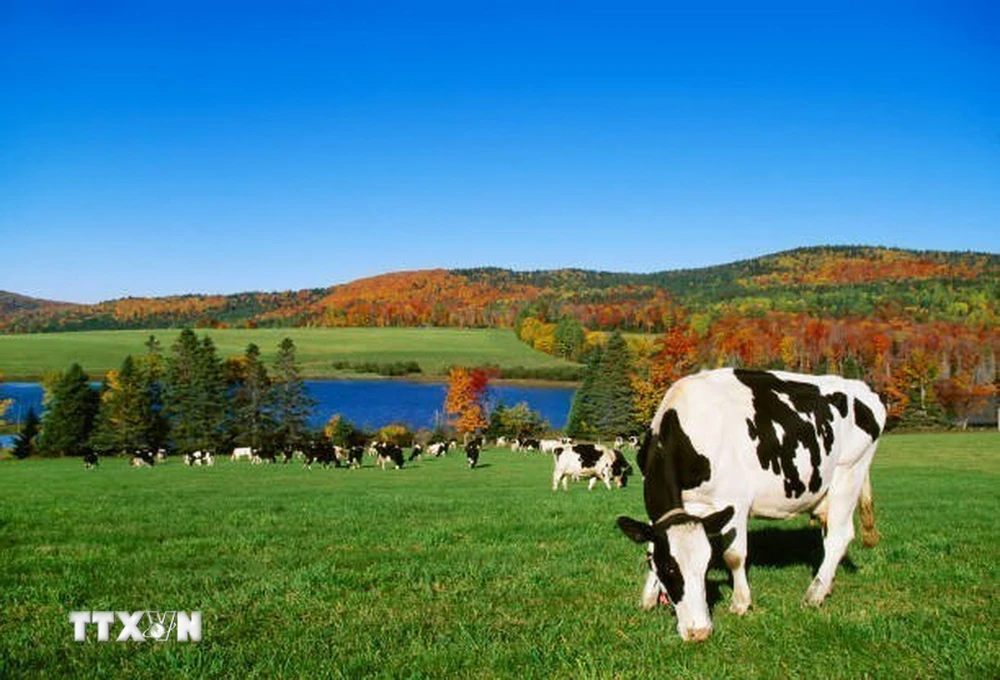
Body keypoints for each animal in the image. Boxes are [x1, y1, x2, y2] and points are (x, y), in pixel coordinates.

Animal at [616, 370, 884, 640]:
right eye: (669, 568)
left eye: (705, 566)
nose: (699, 632)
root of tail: (860, 387)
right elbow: (651, 547)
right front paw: (648, 598)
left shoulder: (734, 500)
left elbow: (734, 556)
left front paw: (740, 603)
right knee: (829, 536)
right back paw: (826, 586)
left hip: (849, 472)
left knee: (840, 536)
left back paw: (813, 595)